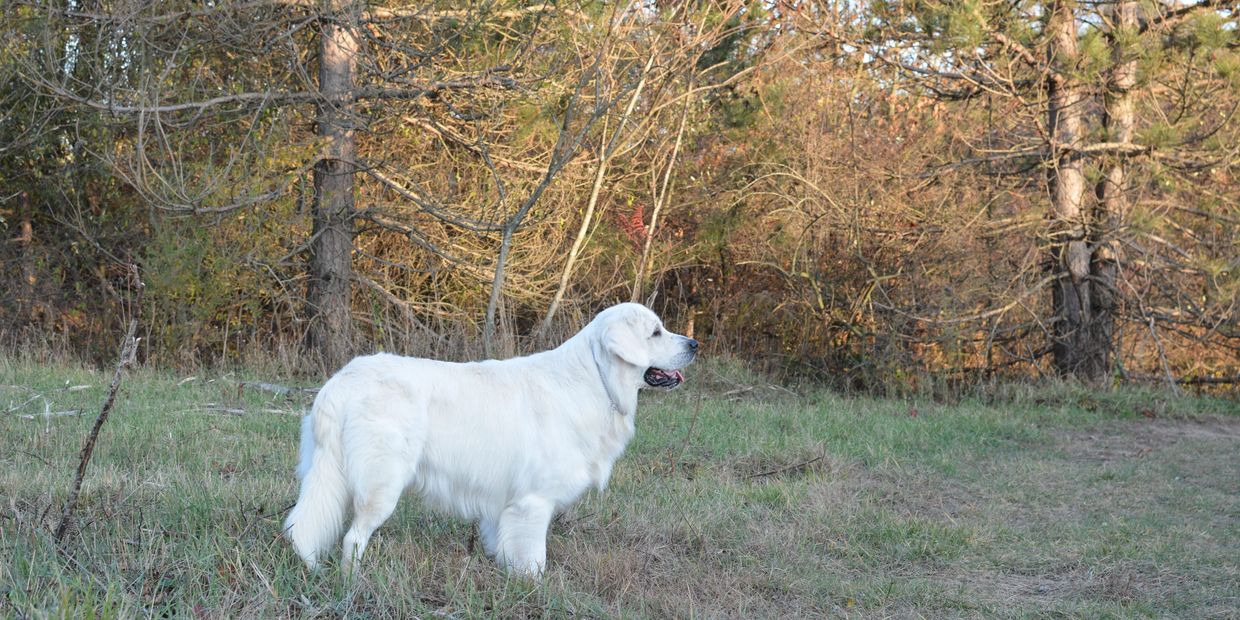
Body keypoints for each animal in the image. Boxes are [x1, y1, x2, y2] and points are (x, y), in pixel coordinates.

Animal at [285, 302, 704, 577]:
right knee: (352, 539)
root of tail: (341, 382)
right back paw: (351, 581)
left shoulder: (503, 505)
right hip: (381, 485)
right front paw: (534, 591)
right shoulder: (534, 503)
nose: (694, 344)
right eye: (656, 333)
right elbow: (535, 561)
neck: (596, 381)